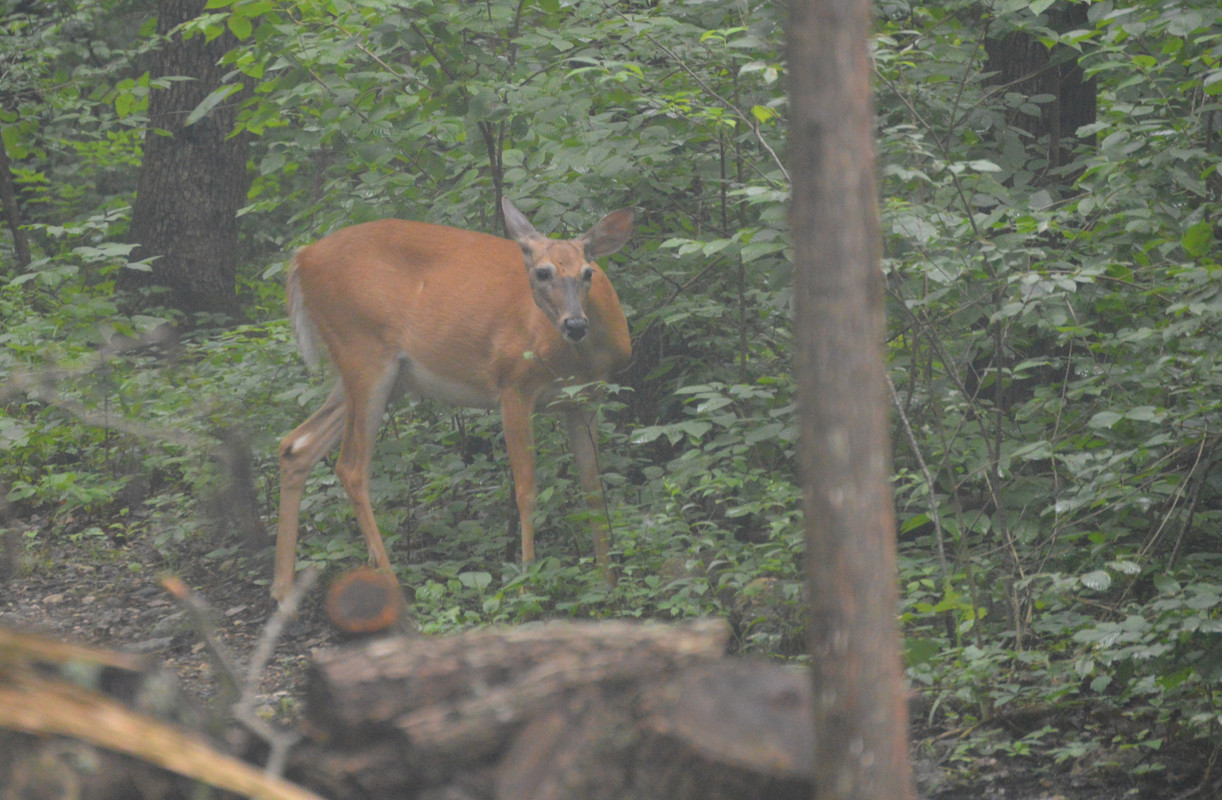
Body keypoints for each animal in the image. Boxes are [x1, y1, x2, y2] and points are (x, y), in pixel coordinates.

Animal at [271, 198, 634, 602]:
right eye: (542, 273)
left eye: (588, 272)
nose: (575, 324)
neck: (577, 357)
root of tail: (301, 258)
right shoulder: (513, 385)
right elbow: (527, 491)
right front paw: (526, 583)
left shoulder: (584, 400)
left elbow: (594, 490)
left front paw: (607, 583)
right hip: (363, 351)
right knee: (350, 466)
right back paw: (391, 584)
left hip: (383, 377)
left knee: (296, 445)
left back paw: (282, 589)